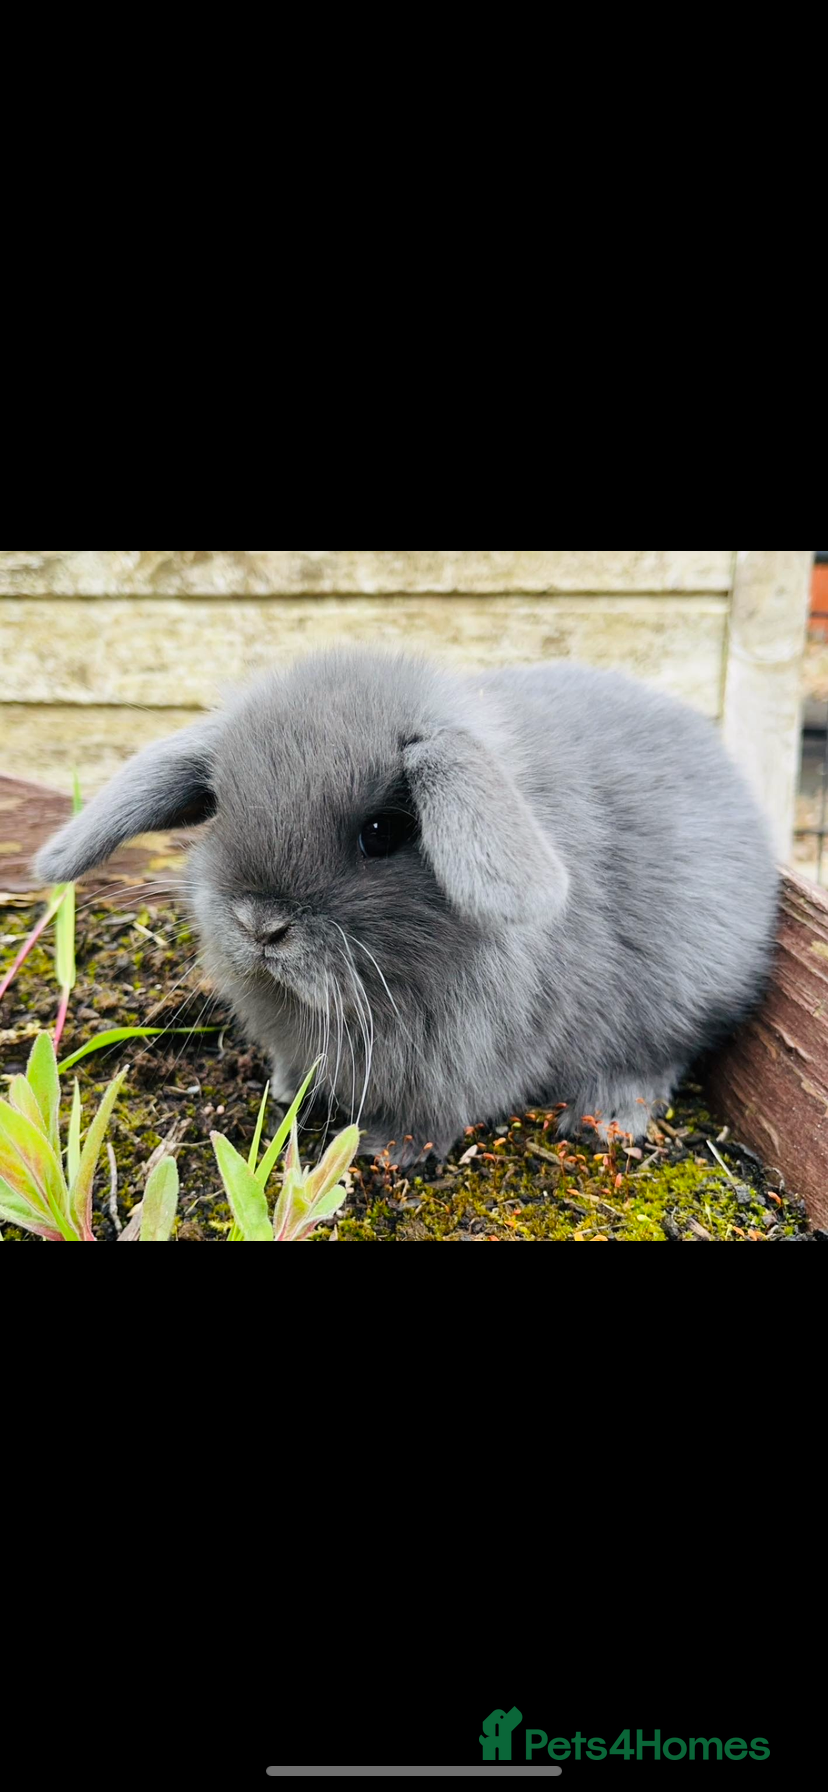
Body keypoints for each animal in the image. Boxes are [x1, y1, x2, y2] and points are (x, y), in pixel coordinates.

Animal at [35, 648, 779, 1165]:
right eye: (220, 808)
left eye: (382, 832)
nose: (259, 926)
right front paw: (288, 1089)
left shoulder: (465, 1062)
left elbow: (434, 1115)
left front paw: (386, 1152)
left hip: (676, 1003)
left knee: (656, 1060)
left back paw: (603, 1120)